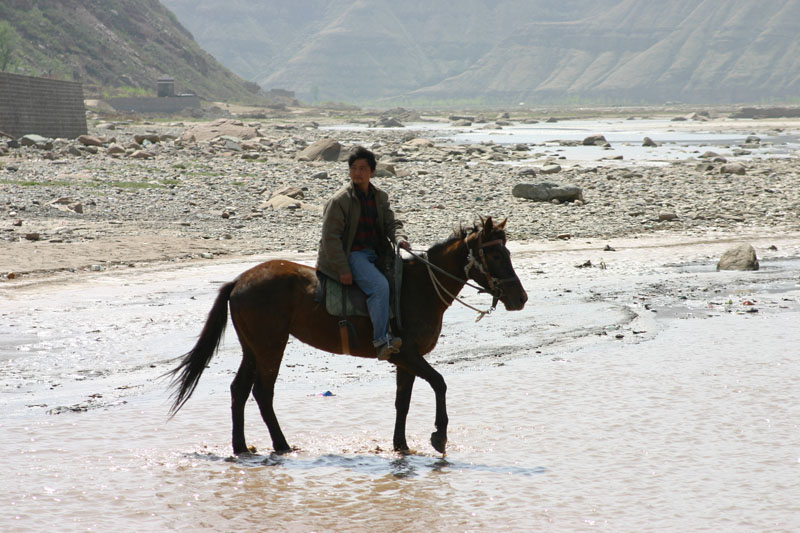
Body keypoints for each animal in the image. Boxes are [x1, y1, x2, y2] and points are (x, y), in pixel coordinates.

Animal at [168, 216, 528, 454]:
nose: (520, 298)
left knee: (239, 390)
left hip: (253, 348)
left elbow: (403, 402)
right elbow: (440, 383)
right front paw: (439, 436)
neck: (420, 287)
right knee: (262, 392)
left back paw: (242, 447)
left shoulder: (404, 360)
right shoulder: (409, 355)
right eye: (496, 255)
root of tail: (239, 281)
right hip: (271, 347)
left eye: (508, 253)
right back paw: (281, 445)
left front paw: (400, 445)